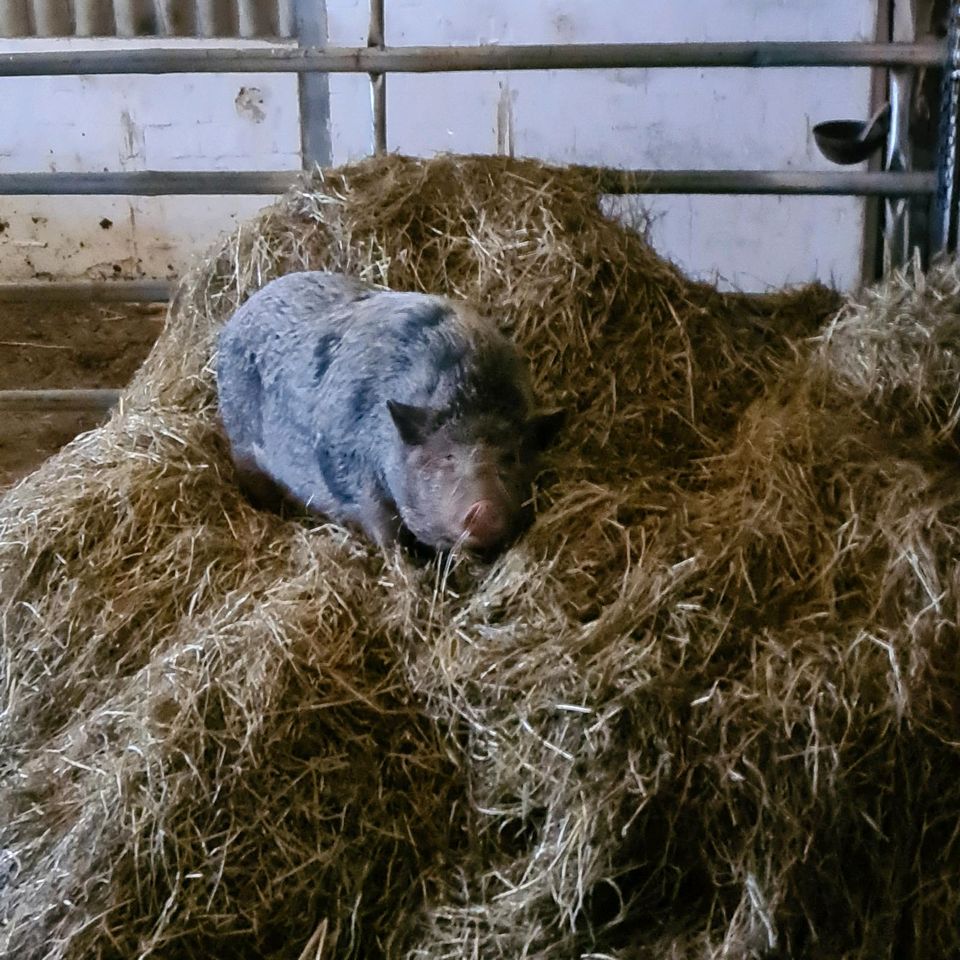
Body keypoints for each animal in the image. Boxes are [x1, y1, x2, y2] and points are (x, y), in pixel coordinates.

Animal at [216, 272, 564, 556]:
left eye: (511, 457)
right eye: (447, 458)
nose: (486, 510)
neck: (467, 392)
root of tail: (235, 318)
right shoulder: (365, 490)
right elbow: (388, 535)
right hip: (243, 446)